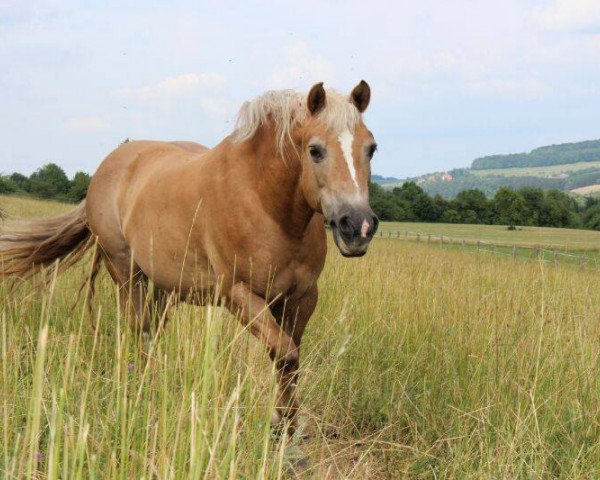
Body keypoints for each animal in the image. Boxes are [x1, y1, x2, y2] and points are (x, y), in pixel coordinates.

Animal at [0, 80, 380, 434]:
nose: (358, 226)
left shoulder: (302, 297)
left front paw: (285, 423)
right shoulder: (238, 294)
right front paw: (281, 423)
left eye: (371, 148)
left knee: (152, 329)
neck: (263, 202)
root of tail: (107, 168)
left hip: (162, 285)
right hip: (124, 271)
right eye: (315, 150)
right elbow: (284, 352)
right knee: (135, 328)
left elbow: (290, 358)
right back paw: (138, 385)